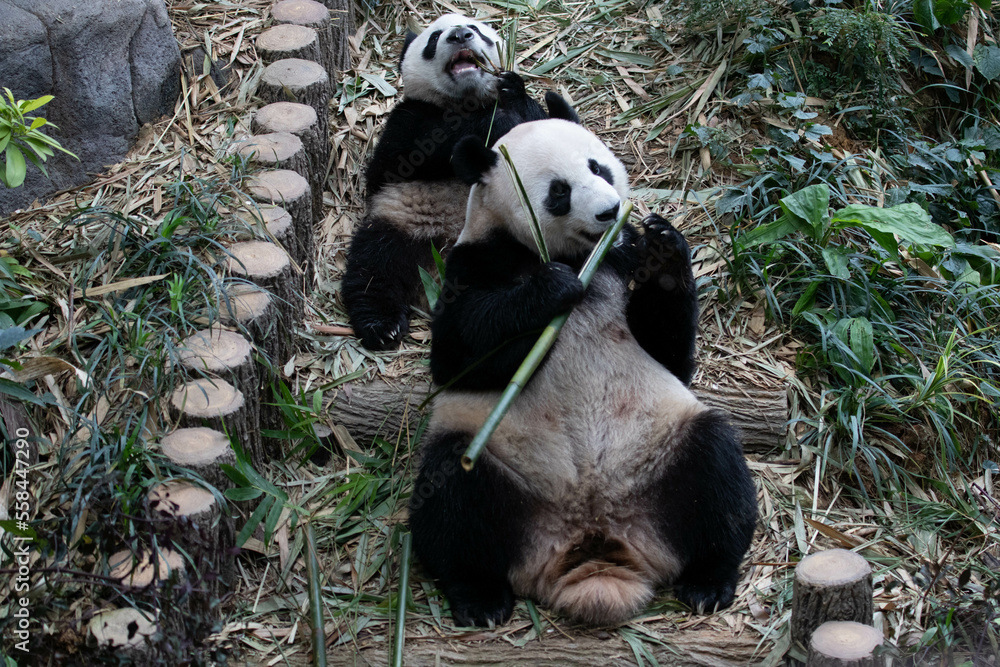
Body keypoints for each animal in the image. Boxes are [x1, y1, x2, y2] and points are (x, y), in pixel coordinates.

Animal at [341, 13, 577, 350]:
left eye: (477, 29)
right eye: (433, 38)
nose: (460, 35)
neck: (465, 102)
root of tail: (435, 274)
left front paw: (512, 88)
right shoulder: (406, 121)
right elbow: (410, 152)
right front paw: (494, 124)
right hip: (399, 222)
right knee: (373, 268)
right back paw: (381, 325)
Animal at [408, 118, 758, 627]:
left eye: (598, 167)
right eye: (559, 191)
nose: (610, 211)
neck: (581, 256)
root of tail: (594, 541)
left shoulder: (620, 261)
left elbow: (671, 353)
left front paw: (664, 244)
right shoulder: (476, 260)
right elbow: (456, 355)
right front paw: (551, 290)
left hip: (664, 453)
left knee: (717, 470)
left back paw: (708, 581)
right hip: (497, 466)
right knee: (451, 497)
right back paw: (479, 598)